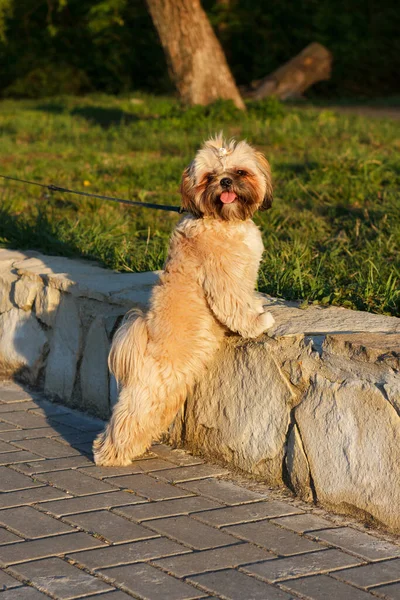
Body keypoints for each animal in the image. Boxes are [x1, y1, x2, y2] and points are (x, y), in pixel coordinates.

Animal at [94, 137, 276, 468]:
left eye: (240, 171)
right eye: (209, 177)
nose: (225, 181)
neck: (222, 221)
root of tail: (144, 340)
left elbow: (247, 298)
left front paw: (258, 310)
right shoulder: (223, 278)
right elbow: (236, 305)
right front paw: (258, 322)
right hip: (154, 392)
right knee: (128, 420)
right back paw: (110, 455)